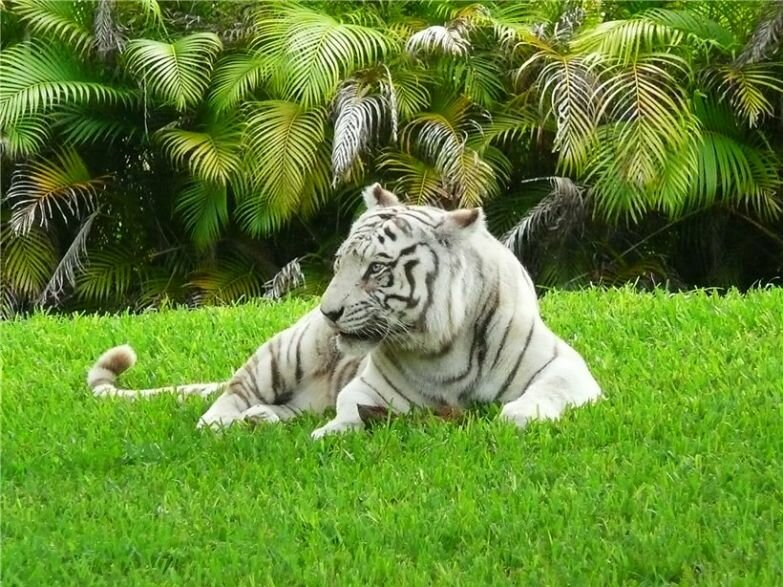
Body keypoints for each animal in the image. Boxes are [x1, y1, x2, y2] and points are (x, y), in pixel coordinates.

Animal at [88, 183, 602, 438]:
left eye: (376, 269)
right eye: (340, 264)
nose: (328, 312)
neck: (443, 346)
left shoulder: (568, 369)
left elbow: (543, 395)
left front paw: (519, 417)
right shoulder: (371, 389)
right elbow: (350, 410)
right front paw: (332, 435)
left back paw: (263, 420)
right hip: (283, 354)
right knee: (228, 398)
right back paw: (227, 424)